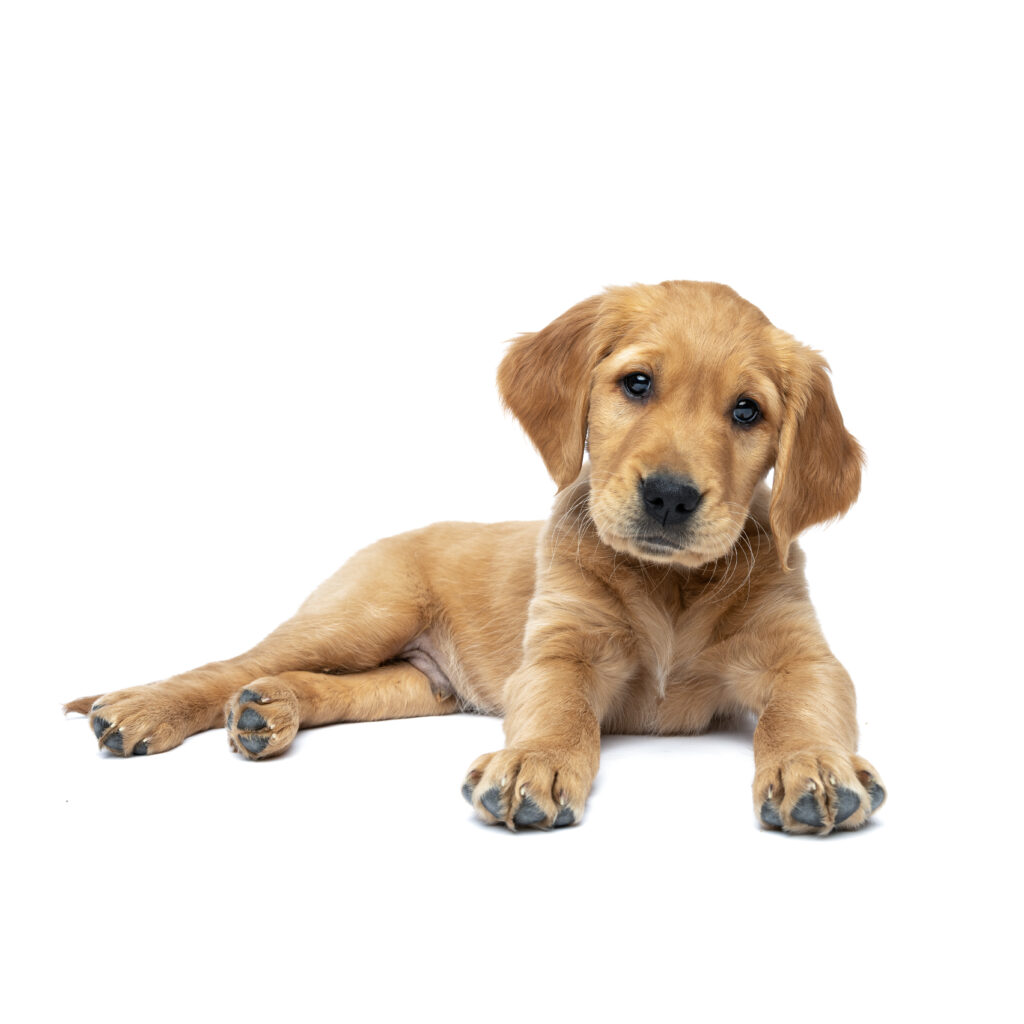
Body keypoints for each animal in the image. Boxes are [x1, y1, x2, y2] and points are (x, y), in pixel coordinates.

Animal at [64, 280, 884, 831]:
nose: (671, 498)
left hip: (418, 686)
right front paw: (535, 762)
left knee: (319, 684)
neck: (668, 586)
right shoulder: (560, 652)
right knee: (232, 664)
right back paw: (144, 708)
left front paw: (813, 766)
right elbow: (559, 711)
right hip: (363, 616)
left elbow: (802, 710)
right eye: (637, 383)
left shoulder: (802, 659)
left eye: (747, 411)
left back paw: (270, 711)